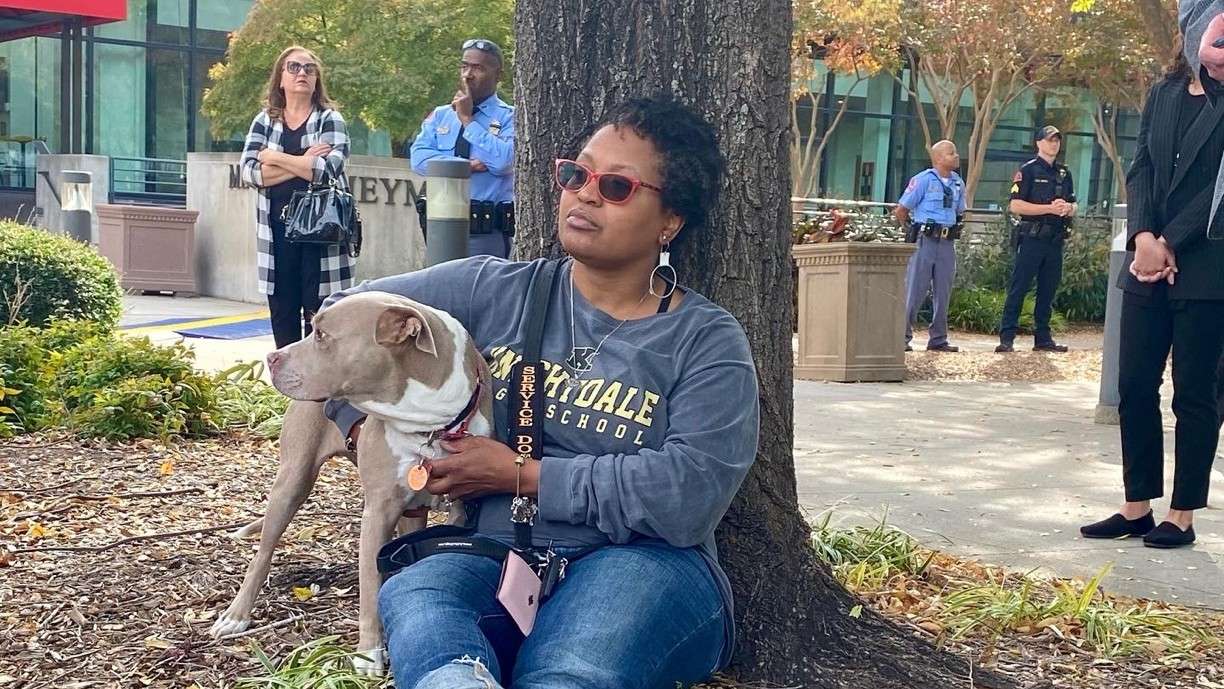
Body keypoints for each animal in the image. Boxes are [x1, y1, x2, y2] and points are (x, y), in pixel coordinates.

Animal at [210, 290, 492, 675]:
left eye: (321, 336)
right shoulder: (378, 513)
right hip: (292, 481)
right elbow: (369, 586)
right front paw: (369, 653)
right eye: (313, 329)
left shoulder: (457, 510)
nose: (271, 358)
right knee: (263, 553)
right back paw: (236, 615)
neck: (430, 424)